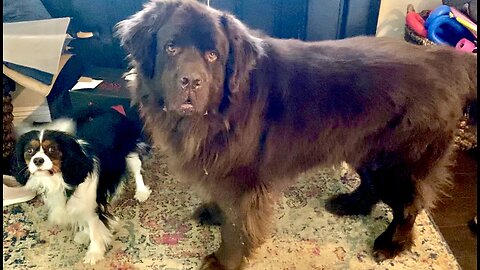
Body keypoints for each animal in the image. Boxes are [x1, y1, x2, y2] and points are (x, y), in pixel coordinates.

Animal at [13, 107, 152, 264]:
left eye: (52, 149)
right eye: (29, 151)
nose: (37, 160)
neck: (60, 179)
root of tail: (108, 109)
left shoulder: (91, 203)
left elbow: (95, 228)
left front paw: (94, 253)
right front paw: (85, 234)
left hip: (130, 153)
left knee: (137, 170)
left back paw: (141, 192)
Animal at [115, 1, 476, 268]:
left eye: (213, 55)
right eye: (171, 48)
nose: (191, 81)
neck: (218, 113)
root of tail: (448, 61)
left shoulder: (244, 183)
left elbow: (236, 228)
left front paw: (222, 262)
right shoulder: (220, 167)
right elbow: (222, 202)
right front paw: (214, 212)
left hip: (399, 164)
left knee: (409, 207)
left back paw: (392, 244)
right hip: (365, 148)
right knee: (372, 185)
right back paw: (350, 203)